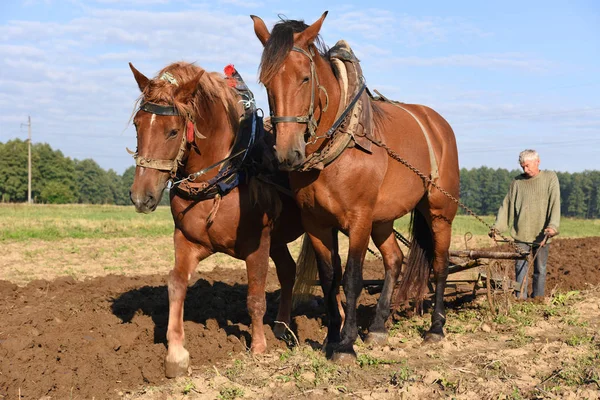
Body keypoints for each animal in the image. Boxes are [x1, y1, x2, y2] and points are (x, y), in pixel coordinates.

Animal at [127, 61, 304, 376]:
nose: (140, 197)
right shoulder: (187, 240)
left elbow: (255, 297)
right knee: (288, 270)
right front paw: (176, 354)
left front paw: (259, 349)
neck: (222, 177)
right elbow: (176, 283)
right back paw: (282, 327)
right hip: (278, 240)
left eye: (173, 131)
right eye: (138, 124)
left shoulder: (258, 245)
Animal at [252, 13, 460, 362]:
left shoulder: (359, 218)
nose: (287, 154)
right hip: (384, 218)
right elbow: (329, 278)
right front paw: (331, 338)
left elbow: (351, 278)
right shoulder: (317, 223)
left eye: (305, 78)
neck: (339, 146)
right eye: (266, 83)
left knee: (441, 264)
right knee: (394, 260)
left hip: (439, 211)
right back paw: (377, 327)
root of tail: (437, 123)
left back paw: (436, 328)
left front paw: (346, 345)